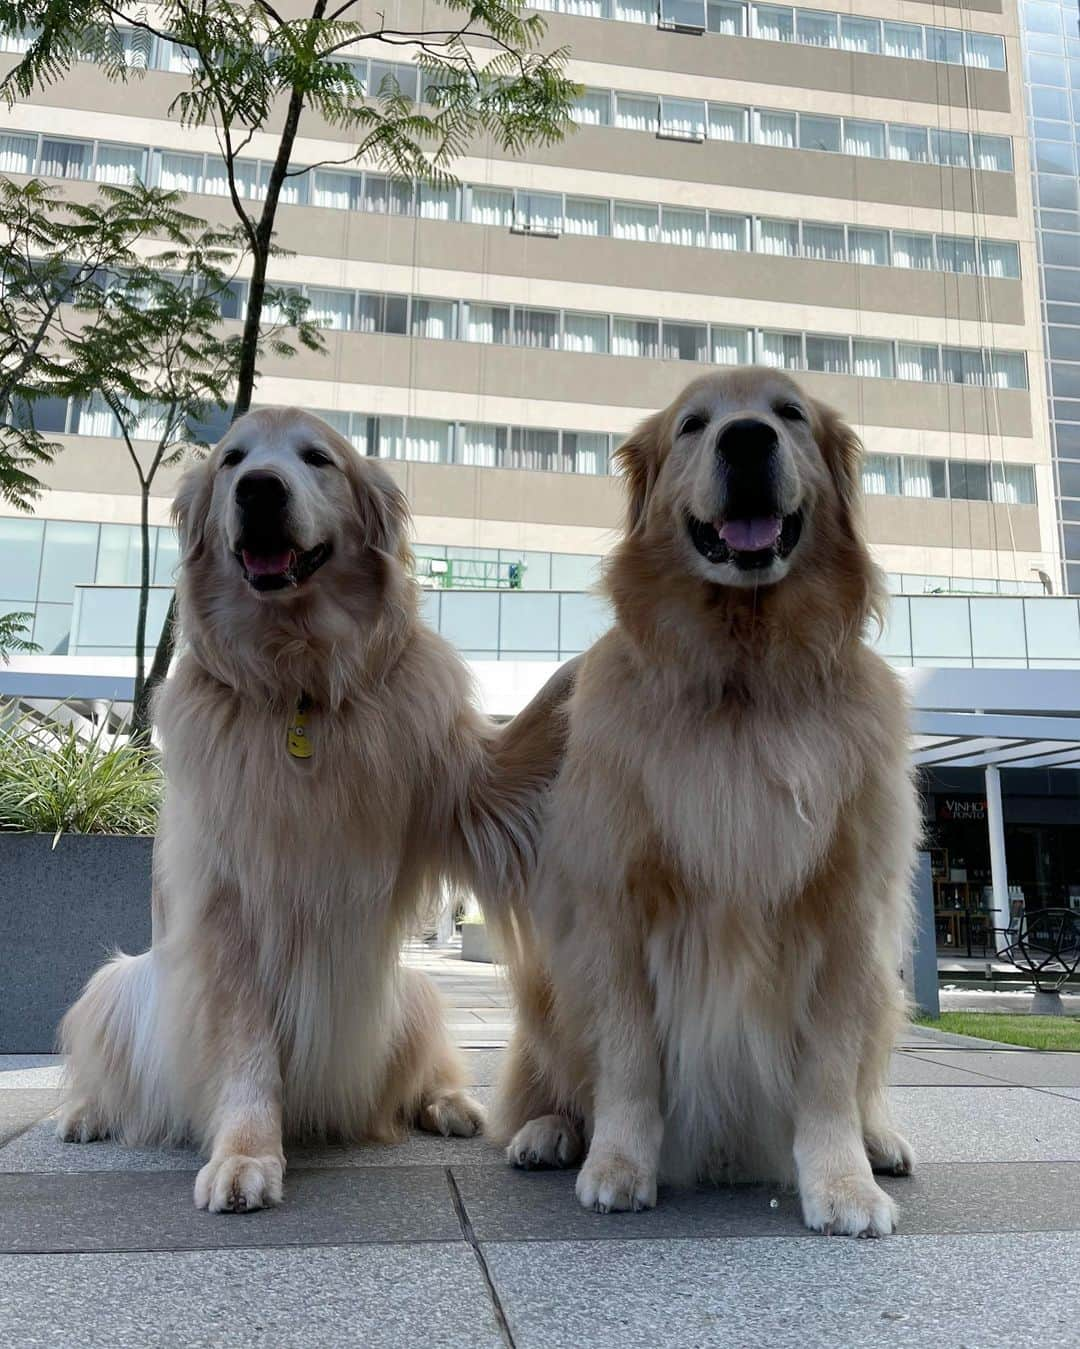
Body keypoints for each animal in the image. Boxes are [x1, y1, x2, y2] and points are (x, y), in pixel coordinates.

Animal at [56, 407, 571, 1214]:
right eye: (233, 460)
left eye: (317, 458)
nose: (260, 490)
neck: (297, 681)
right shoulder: (227, 909)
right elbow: (245, 1048)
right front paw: (245, 1153)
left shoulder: (465, 787)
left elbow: (527, 740)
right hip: (121, 986)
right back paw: (86, 1112)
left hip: (412, 991)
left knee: (421, 1073)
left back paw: (451, 1103)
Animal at [493, 366, 916, 1235]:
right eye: (693, 424)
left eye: (789, 413)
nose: (748, 438)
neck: (742, 682)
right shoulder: (616, 905)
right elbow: (627, 1060)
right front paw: (619, 1162)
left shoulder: (850, 911)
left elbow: (830, 1071)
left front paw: (844, 1182)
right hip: (545, 984)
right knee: (559, 1079)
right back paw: (552, 1130)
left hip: (888, 985)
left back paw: (881, 1137)